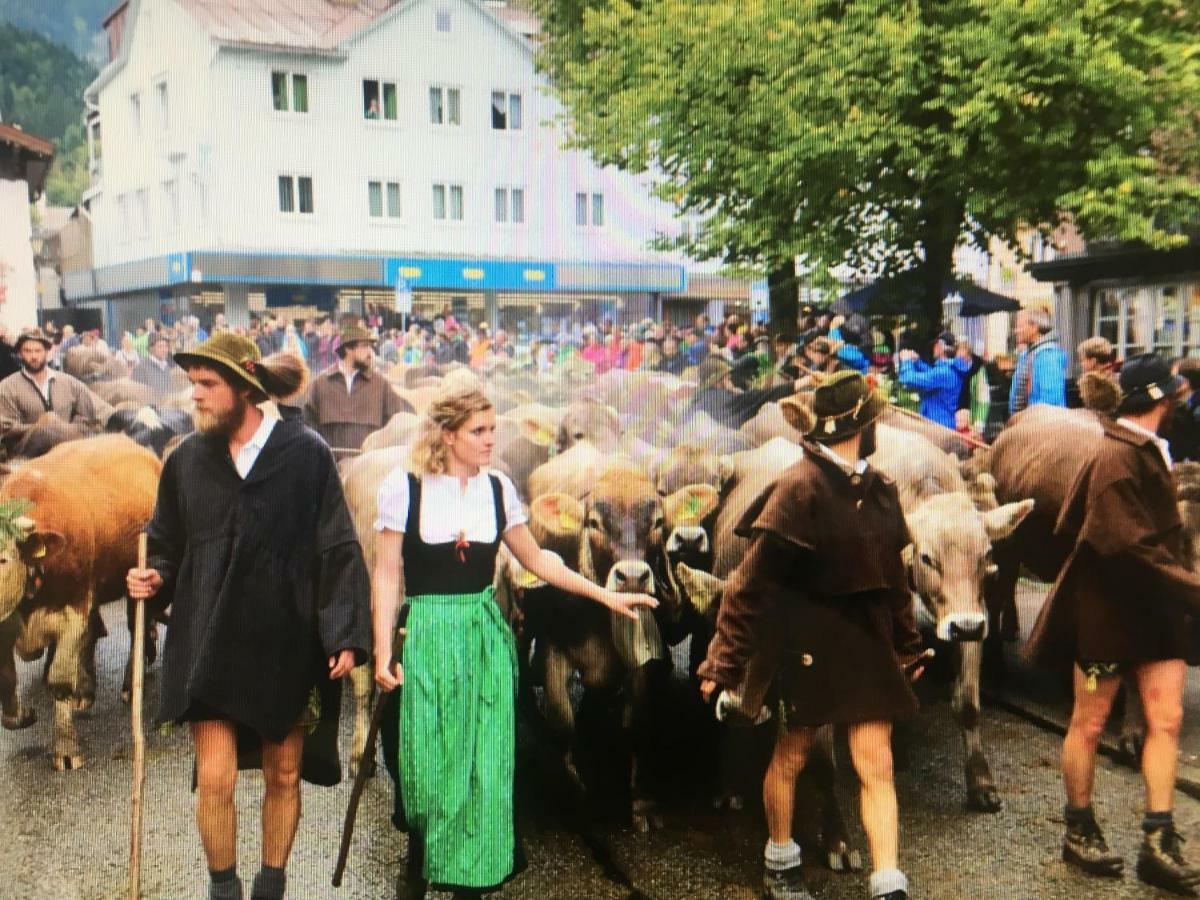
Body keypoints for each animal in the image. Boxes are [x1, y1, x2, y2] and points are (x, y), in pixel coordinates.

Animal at [0, 436, 160, 768]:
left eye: (3, 558)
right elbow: (6, 680)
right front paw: (22, 715)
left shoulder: (73, 608)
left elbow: (59, 678)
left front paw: (66, 749)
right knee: (94, 632)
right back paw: (85, 688)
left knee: (135, 629)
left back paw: (130, 684)